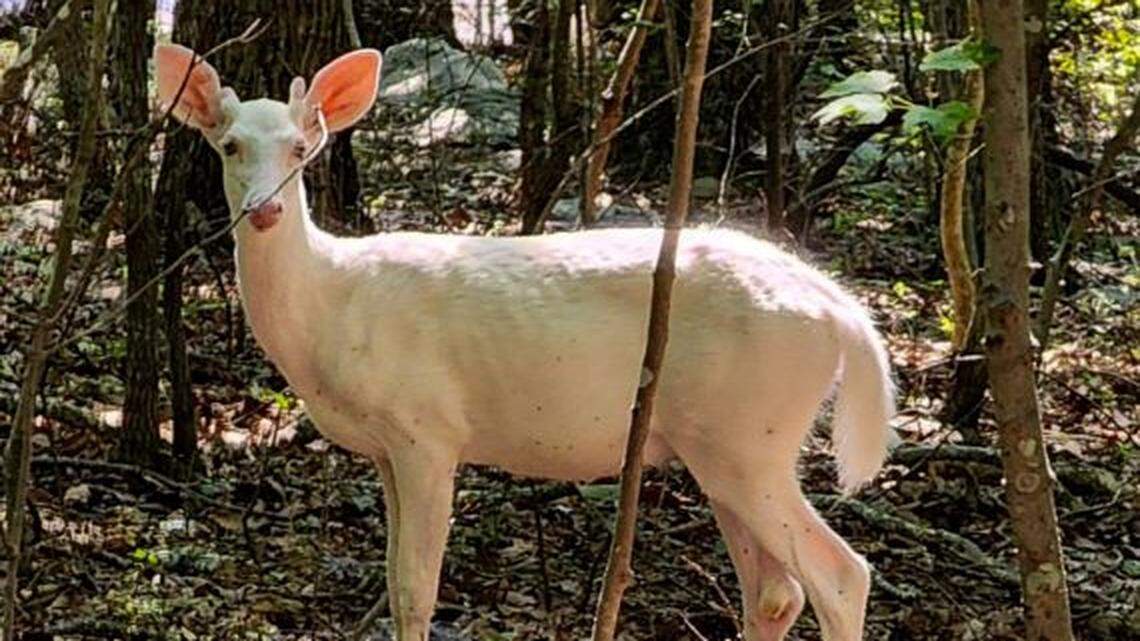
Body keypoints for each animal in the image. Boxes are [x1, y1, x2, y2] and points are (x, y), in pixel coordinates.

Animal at [153, 43, 895, 641]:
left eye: (301, 148)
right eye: (228, 145)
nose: (265, 210)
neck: (331, 305)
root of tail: (839, 310)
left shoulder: (427, 428)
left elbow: (416, 590)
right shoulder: (385, 448)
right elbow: (392, 582)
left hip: (749, 431)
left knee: (839, 573)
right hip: (722, 441)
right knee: (774, 590)